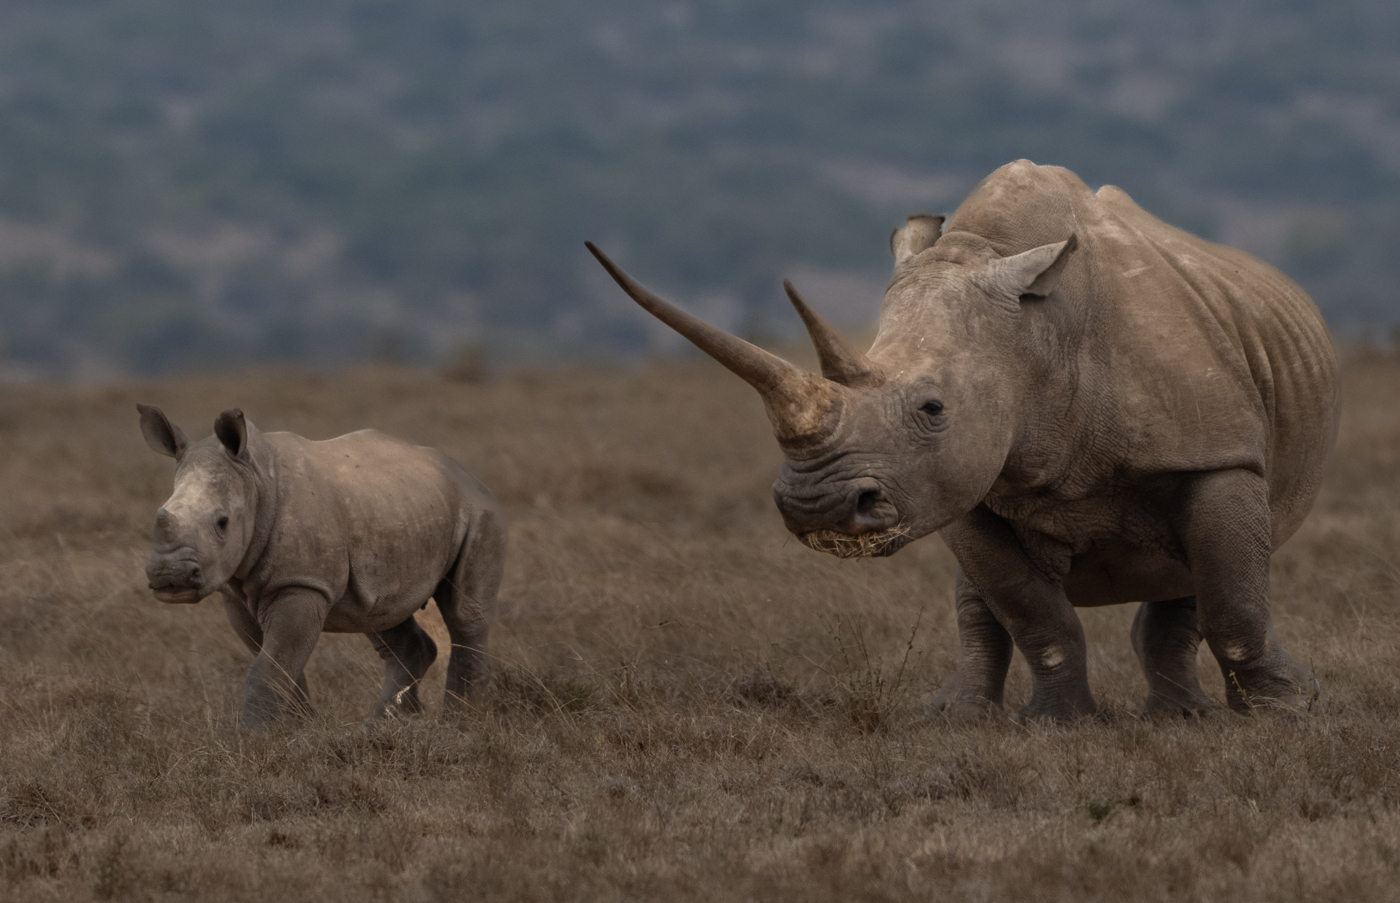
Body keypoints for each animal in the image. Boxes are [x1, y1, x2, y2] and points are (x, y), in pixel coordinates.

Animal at [138, 405, 506, 729]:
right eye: (161, 513)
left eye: (222, 522)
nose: (170, 577)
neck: (255, 479)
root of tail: (466, 474)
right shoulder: (236, 592)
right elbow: (280, 664)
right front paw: (297, 729)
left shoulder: (302, 582)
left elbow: (271, 664)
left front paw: (255, 736)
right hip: (393, 509)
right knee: (379, 611)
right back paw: (378, 726)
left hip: (479, 511)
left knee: (464, 614)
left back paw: (459, 725)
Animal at [587, 160, 1339, 720]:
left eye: (932, 407)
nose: (815, 509)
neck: (1038, 338)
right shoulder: (960, 486)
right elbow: (1033, 611)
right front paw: (1061, 724)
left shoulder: (1215, 455)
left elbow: (1233, 598)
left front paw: (1285, 713)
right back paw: (956, 717)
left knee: (1199, 575)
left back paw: (1189, 717)